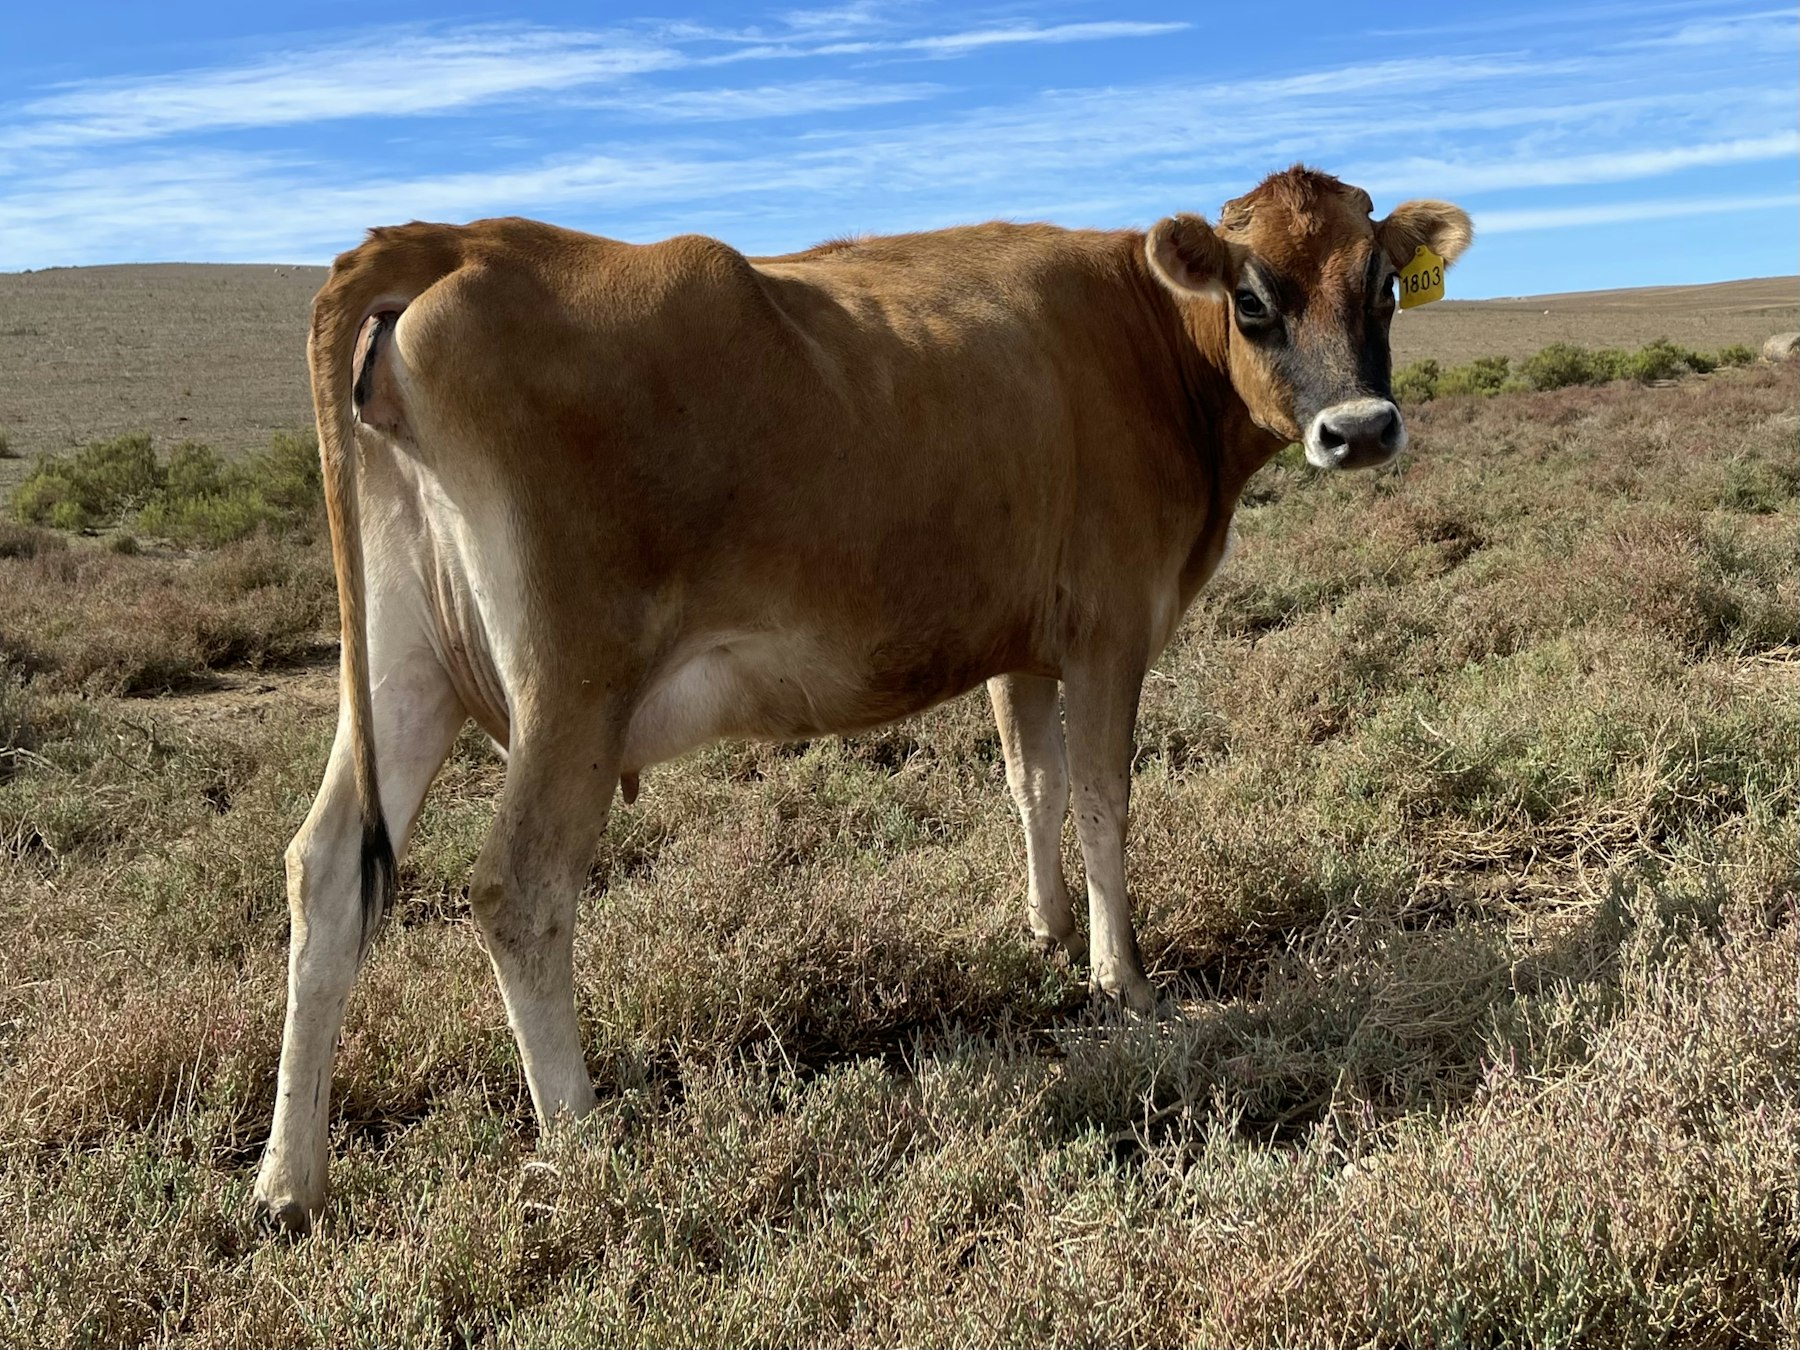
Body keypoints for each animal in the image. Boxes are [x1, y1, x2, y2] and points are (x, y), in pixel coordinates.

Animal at [252, 166, 1471, 1229]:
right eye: (1254, 296)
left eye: (1383, 282)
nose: (1362, 429)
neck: (1144, 337)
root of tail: (463, 239)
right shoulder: (1109, 627)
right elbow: (1102, 798)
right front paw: (1122, 980)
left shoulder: (1021, 639)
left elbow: (1032, 784)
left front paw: (1045, 930)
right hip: (572, 686)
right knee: (518, 887)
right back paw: (587, 1145)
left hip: (405, 669)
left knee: (326, 870)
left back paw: (287, 1183)